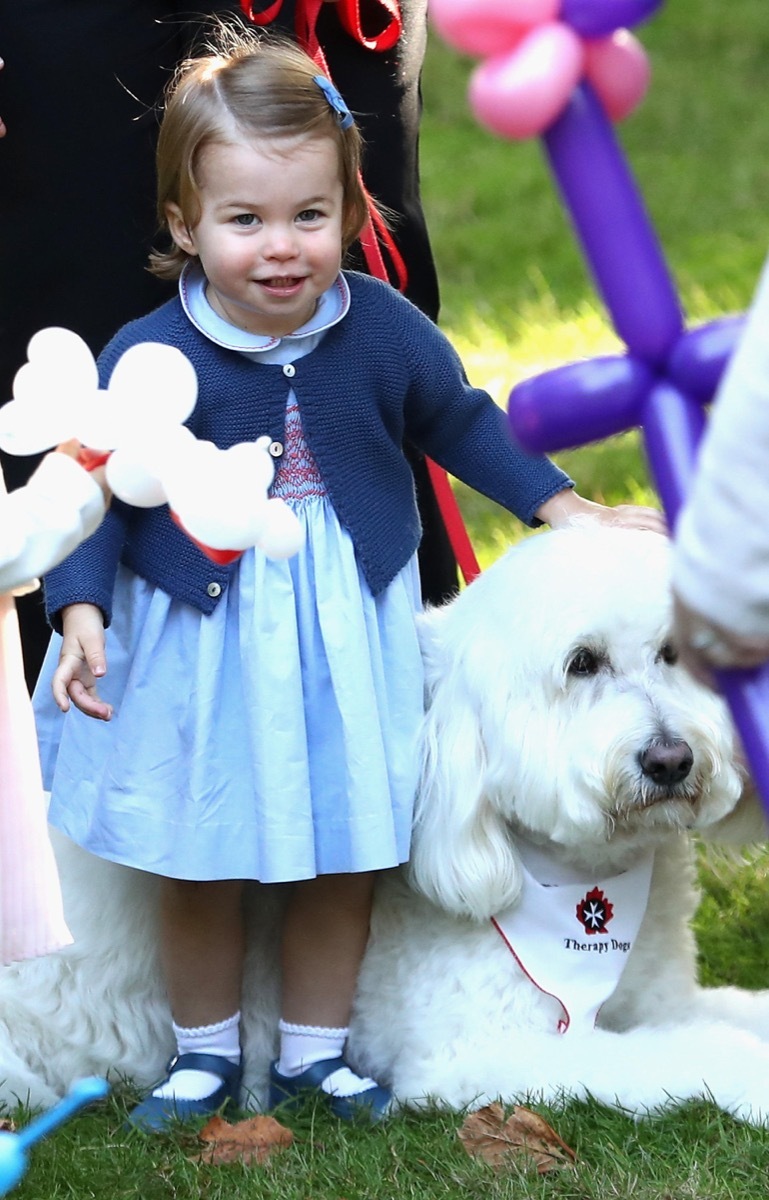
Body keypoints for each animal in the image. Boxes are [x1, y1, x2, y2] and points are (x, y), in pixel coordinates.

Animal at [4, 525, 767, 1123]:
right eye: (582, 663)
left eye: (674, 654)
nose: (670, 760)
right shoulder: (482, 1052)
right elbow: (672, 1054)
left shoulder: (660, 998)